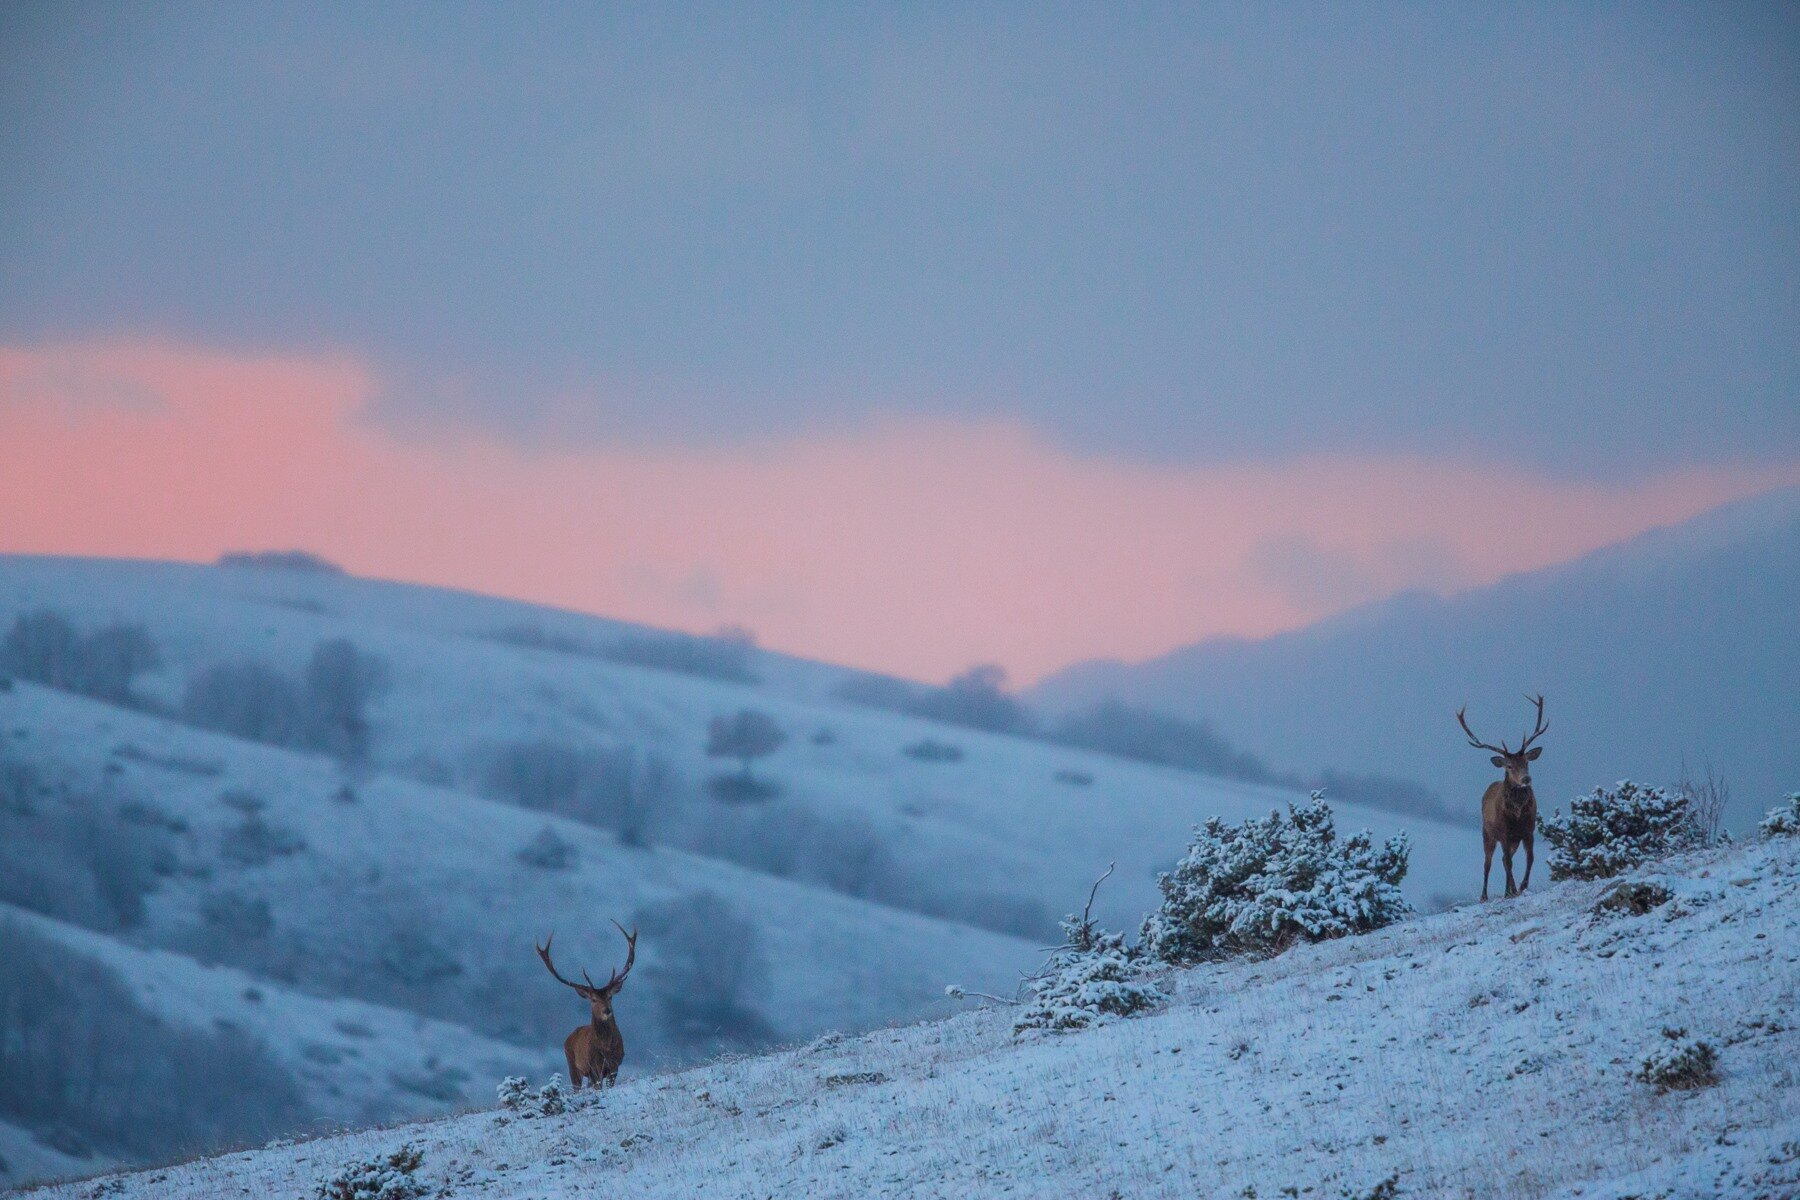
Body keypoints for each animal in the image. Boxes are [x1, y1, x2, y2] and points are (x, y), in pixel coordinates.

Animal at [536, 922, 637, 1088]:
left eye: (610, 997)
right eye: (593, 1000)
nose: (607, 1010)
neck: (606, 1048)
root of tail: (571, 1034)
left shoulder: (615, 1065)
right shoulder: (593, 1066)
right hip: (572, 1063)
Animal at [1457, 694, 1548, 902]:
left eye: (1526, 762)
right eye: (1509, 766)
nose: (1526, 779)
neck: (1517, 815)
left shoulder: (1528, 830)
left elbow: (1530, 858)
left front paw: (1522, 886)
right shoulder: (1504, 831)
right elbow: (1508, 863)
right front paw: (1513, 890)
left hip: (1513, 840)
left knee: (1504, 860)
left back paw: (1509, 889)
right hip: (1487, 833)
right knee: (1489, 863)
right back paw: (1485, 895)